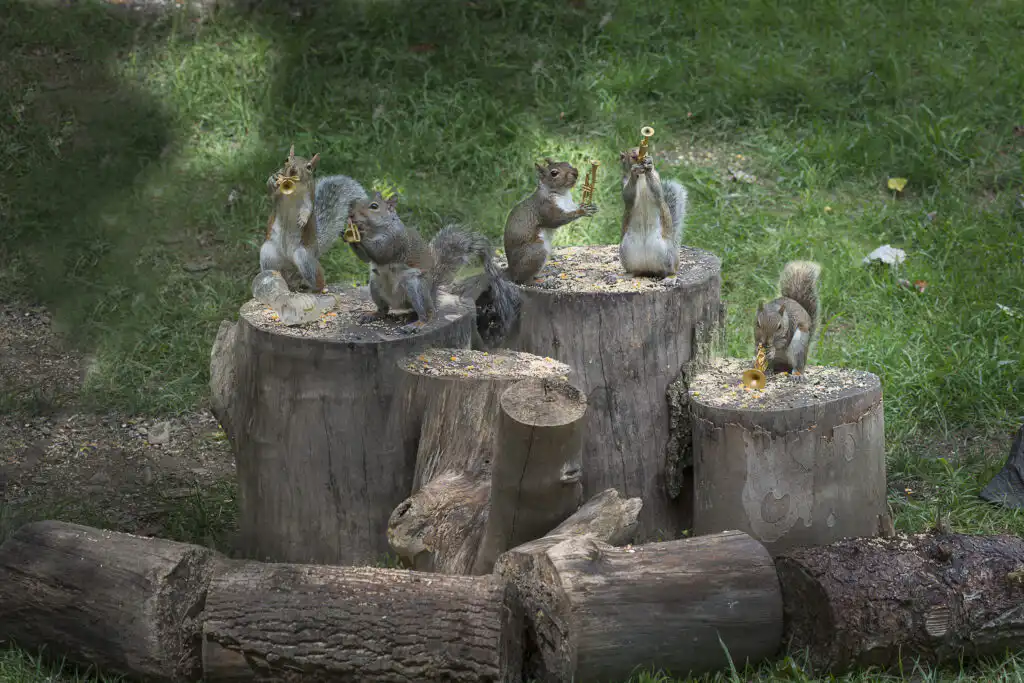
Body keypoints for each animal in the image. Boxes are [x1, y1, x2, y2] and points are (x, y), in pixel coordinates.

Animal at [259, 144, 367, 292]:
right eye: (287, 159)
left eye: (309, 167)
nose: (293, 169)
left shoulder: (308, 198)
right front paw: (272, 179)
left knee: (318, 279)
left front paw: (303, 220)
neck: (293, 191)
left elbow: (307, 209)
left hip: (304, 257)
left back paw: (316, 288)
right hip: (268, 253)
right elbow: (271, 193)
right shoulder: (277, 197)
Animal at [347, 192, 520, 335]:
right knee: (384, 310)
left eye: (374, 206)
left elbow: (382, 253)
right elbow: (366, 258)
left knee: (428, 314)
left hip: (416, 287)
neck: (376, 230)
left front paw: (360, 234)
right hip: (375, 285)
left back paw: (417, 324)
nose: (351, 214)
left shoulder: (396, 241)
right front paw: (348, 234)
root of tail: (432, 293)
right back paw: (372, 314)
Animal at [617, 147, 689, 282]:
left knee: (671, 270)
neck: (641, 178)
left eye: (646, 152)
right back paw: (625, 275)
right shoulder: (624, 184)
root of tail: (649, 269)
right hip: (626, 253)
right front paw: (634, 171)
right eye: (631, 155)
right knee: (635, 270)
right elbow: (628, 195)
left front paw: (649, 165)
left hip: (668, 256)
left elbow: (658, 192)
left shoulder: (657, 181)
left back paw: (670, 278)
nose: (638, 155)